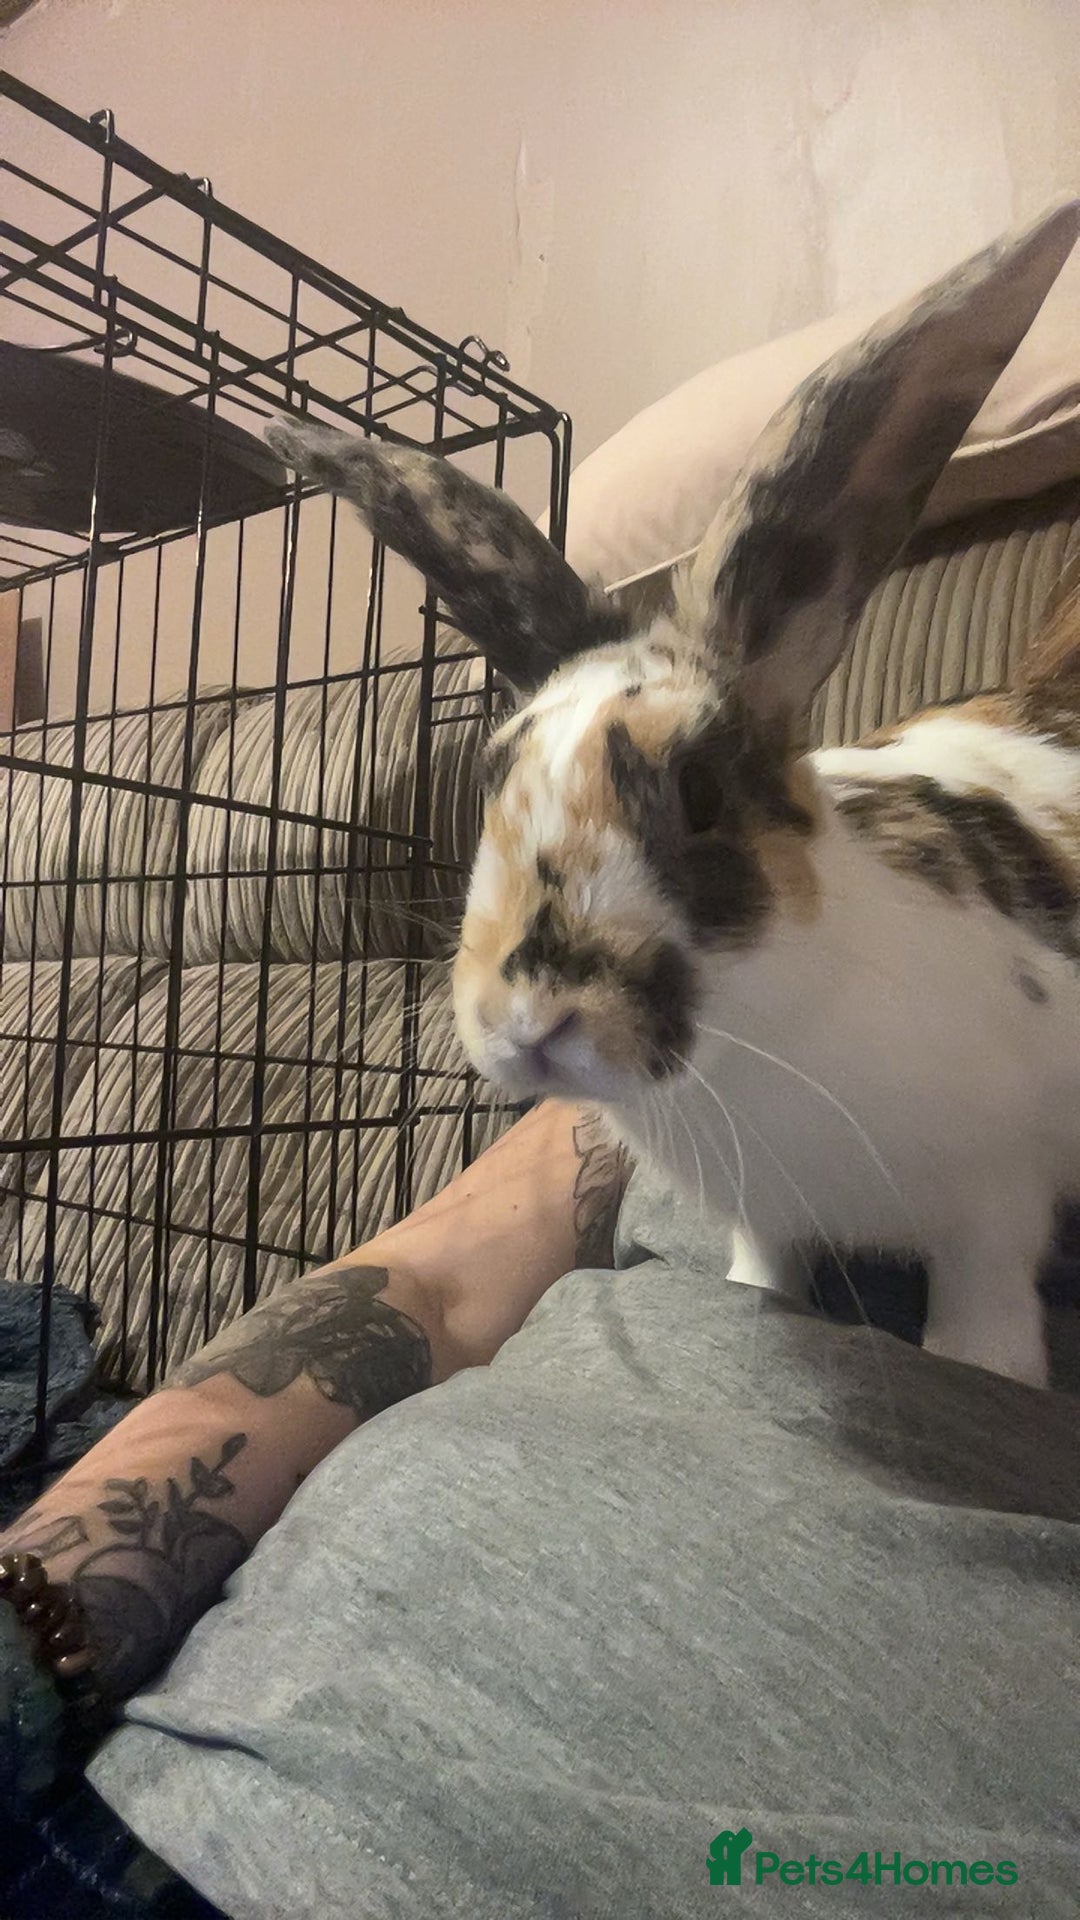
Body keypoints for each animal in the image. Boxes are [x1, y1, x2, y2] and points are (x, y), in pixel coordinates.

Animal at [266, 197, 1080, 1390]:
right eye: (492, 776)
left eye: (699, 794)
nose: (528, 1019)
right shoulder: (771, 1221)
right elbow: (766, 1275)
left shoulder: (993, 1210)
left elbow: (984, 1324)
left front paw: (991, 1374)